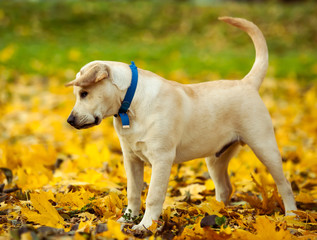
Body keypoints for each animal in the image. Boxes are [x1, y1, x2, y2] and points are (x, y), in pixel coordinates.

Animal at [65, 16, 296, 231]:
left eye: (84, 93)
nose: (70, 120)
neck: (130, 105)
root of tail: (247, 83)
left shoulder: (161, 159)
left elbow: (153, 195)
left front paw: (145, 225)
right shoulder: (131, 159)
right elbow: (133, 192)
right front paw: (127, 219)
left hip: (264, 147)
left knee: (284, 184)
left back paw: (292, 216)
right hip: (215, 158)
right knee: (225, 188)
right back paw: (215, 212)